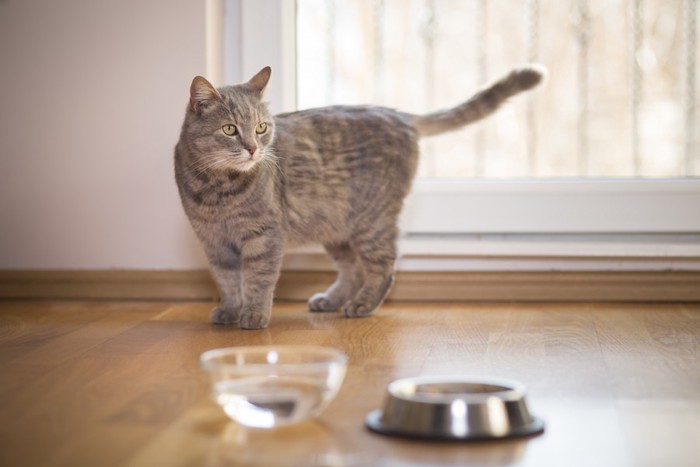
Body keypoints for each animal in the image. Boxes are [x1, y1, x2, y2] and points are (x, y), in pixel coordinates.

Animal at [172, 65, 544, 330]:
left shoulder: (264, 238)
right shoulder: (214, 243)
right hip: (336, 229)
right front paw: (231, 309)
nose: (252, 148)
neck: (218, 190)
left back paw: (362, 305)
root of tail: (400, 115)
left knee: (384, 267)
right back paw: (331, 300)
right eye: (230, 129)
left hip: (372, 223)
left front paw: (253, 315)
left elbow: (258, 280)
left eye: (262, 128)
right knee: (351, 270)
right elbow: (228, 281)